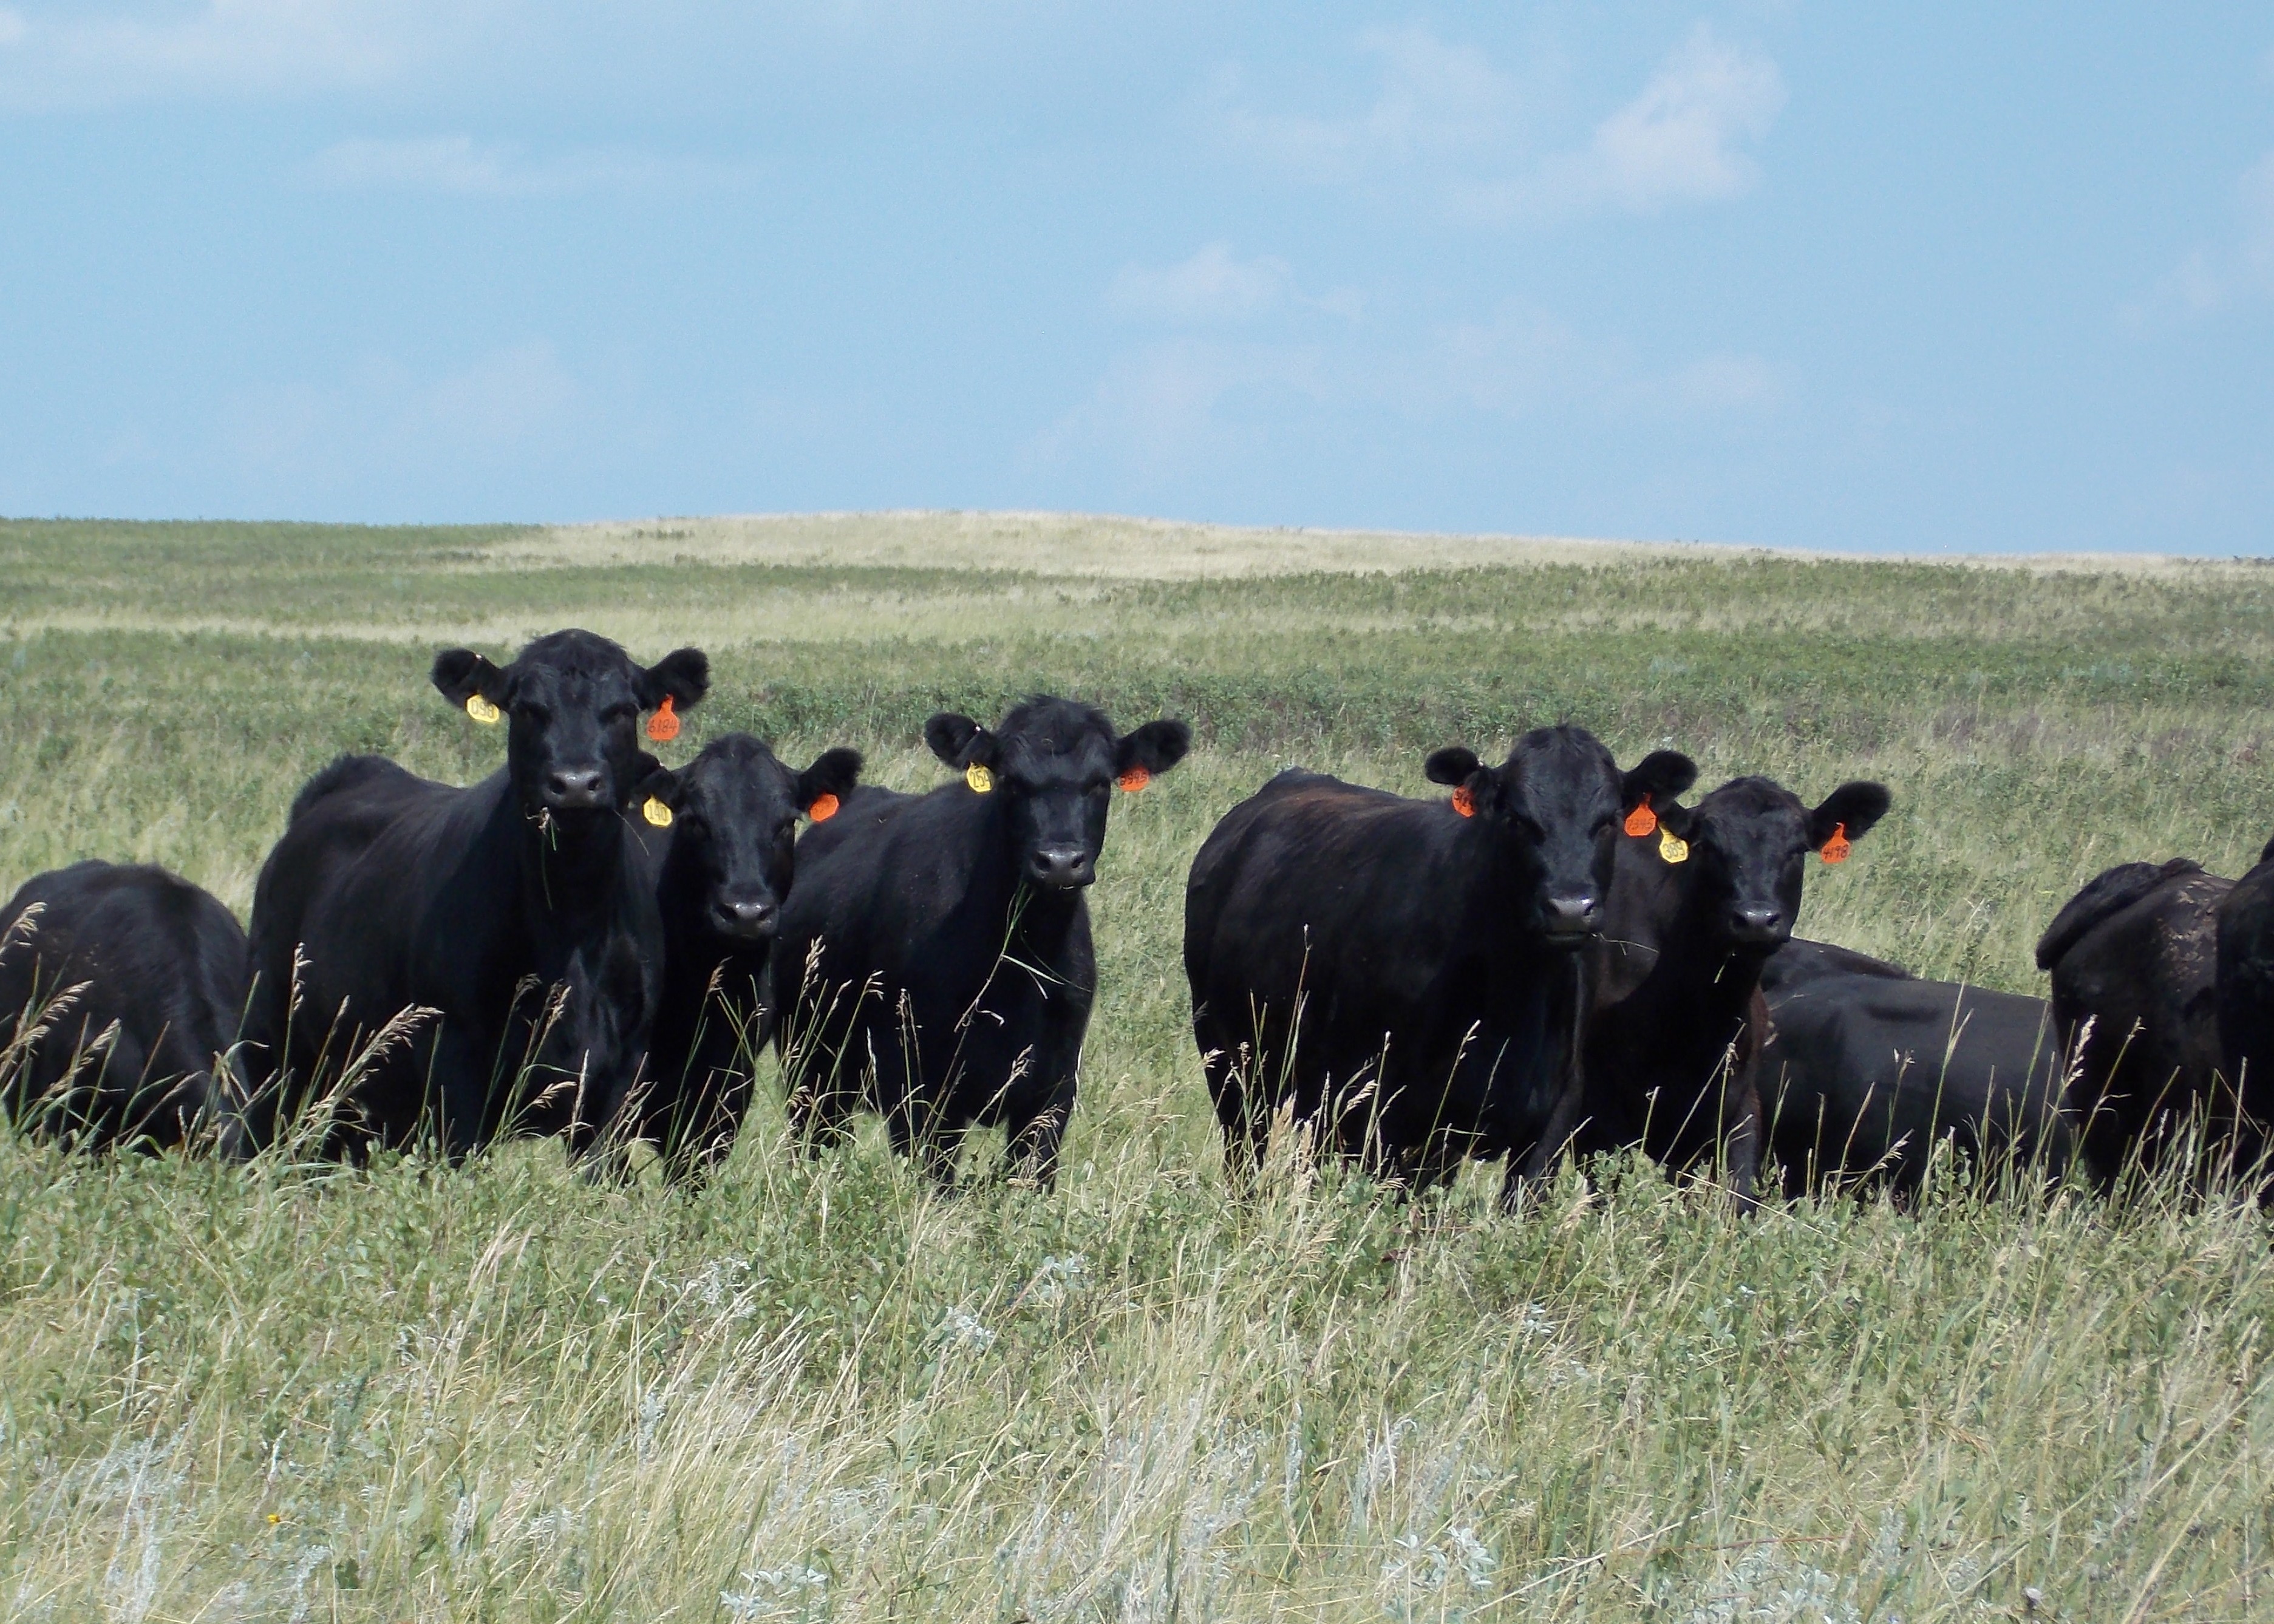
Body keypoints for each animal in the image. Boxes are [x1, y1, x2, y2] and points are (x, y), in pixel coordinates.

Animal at [227, 629, 709, 1162]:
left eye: (623, 709)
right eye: (526, 708)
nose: (575, 784)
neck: (572, 922)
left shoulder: (618, 1075)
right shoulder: (455, 1063)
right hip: (272, 1046)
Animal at [772, 696, 1189, 1188]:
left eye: (1100, 783)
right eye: (1011, 780)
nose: (1060, 862)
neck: (1019, 965)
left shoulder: (1052, 1089)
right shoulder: (917, 1087)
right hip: (810, 1069)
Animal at [1183, 725, 1697, 1207]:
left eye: (1609, 820)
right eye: (1516, 818)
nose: (1569, 908)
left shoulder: (1551, 1121)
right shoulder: (1398, 1121)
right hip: (1232, 1069)